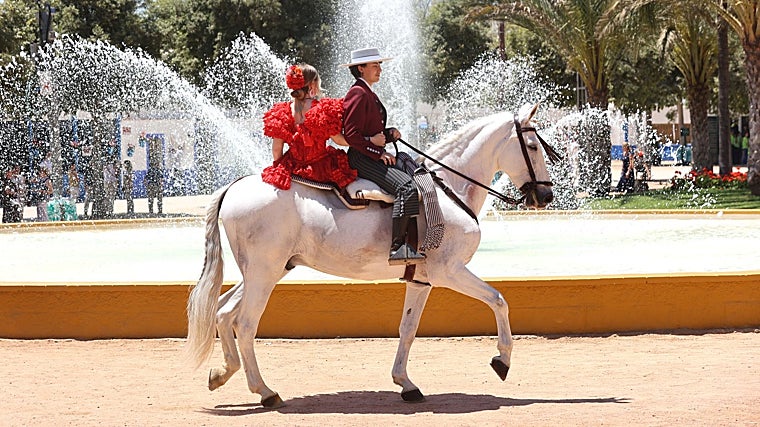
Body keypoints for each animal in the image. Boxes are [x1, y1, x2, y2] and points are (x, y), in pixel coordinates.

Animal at [186, 103, 556, 408]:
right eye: (533, 146)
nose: (546, 195)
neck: (448, 189)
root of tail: (234, 186)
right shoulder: (448, 271)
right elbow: (498, 300)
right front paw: (502, 360)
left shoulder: (421, 281)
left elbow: (408, 328)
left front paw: (405, 383)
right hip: (264, 273)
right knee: (245, 323)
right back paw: (265, 392)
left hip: (265, 271)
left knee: (224, 312)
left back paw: (223, 373)